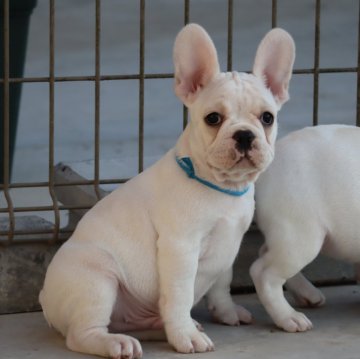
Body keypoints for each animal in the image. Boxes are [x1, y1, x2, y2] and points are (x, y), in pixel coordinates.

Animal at [39, 23, 296, 358]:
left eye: (267, 117)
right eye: (213, 118)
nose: (243, 135)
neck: (221, 187)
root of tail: (44, 298)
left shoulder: (228, 245)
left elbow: (221, 282)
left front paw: (225, 312)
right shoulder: (181, 247)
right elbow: (179, 295)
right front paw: (186, 335)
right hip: (98, 280)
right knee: (83, 333)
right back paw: (117, 342)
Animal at [252, 124, 360, 334]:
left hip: (288, 235)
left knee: (265, 253)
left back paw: (307, 294)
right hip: (301, 236)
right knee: (263, 273)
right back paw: (288, 317)